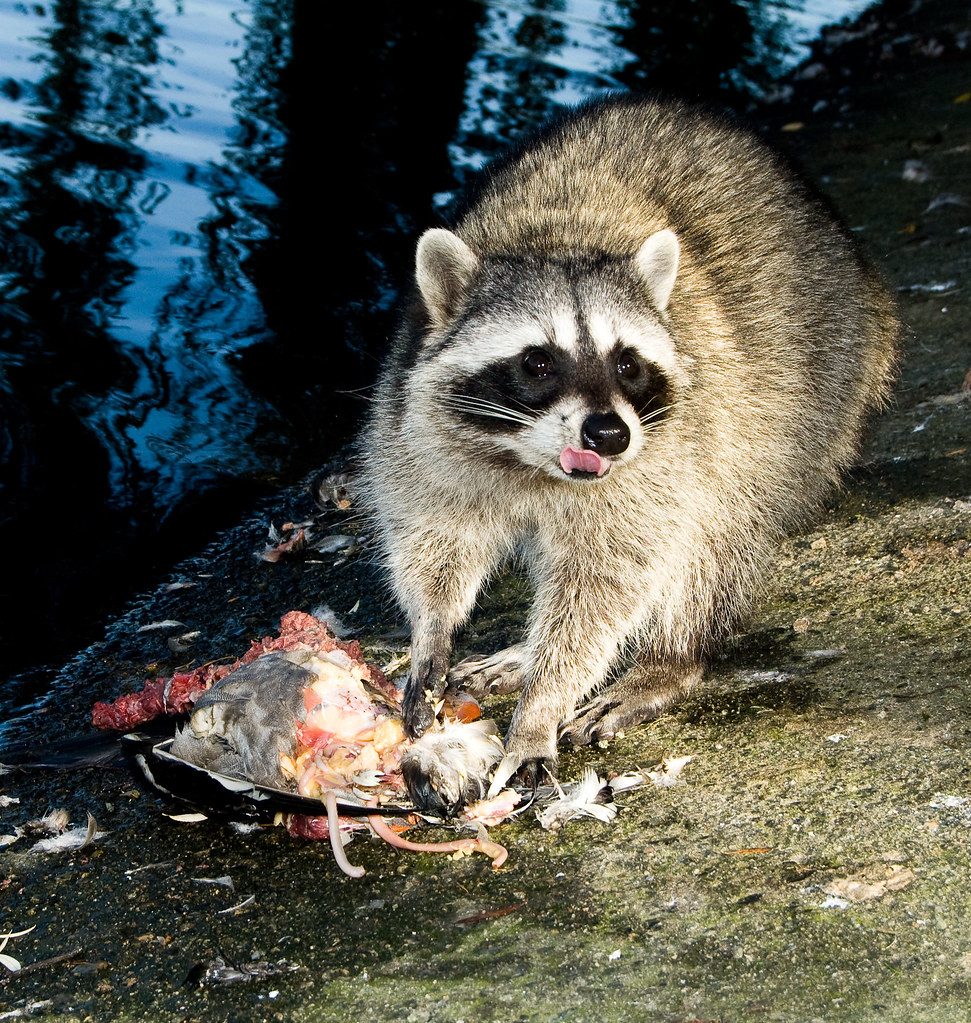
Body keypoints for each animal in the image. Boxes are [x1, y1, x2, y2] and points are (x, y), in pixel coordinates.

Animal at [359, 95, 898, 803]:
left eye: (628, 364)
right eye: (538, 362)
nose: (611, 434)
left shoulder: (660, 459)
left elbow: (607, 580)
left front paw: (541, 707)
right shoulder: (418, 422)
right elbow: (437, 533)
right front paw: (433, 630)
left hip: (804, 402)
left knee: (715, 536)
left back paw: (666, 659)